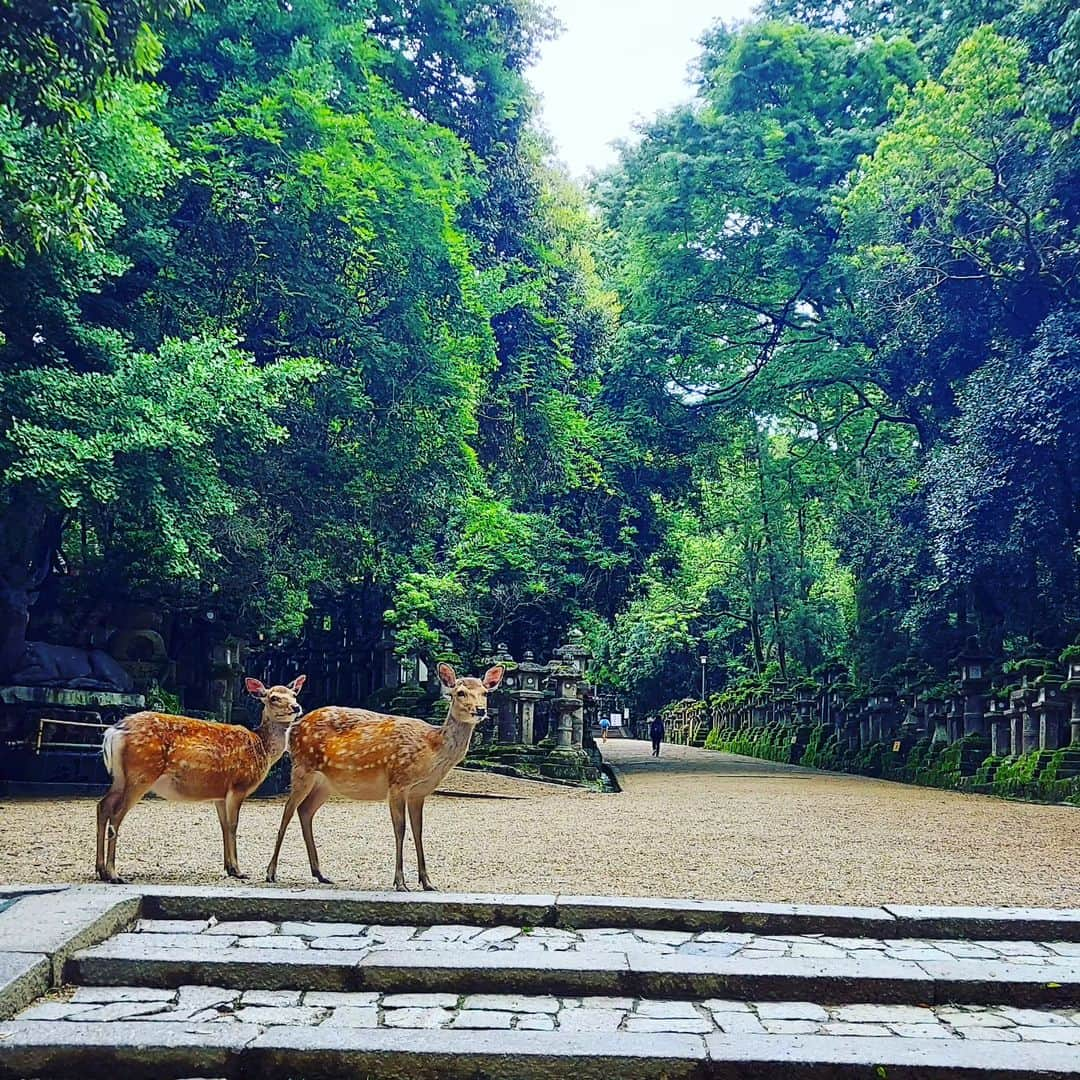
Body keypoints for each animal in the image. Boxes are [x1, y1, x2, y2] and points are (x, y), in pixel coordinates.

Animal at [95, 673, 306, 885]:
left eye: (294, 694)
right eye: (273, 697)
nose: (297, 707)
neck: (261, 748)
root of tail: (113, 732)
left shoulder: (220, 794)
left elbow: (223, 826)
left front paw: (229, 868)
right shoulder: (238, 785)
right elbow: (233, 825)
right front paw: (239, 871)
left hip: (120, 777)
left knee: (102, 806)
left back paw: (101, 870)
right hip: (141, 774)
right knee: (116, 814)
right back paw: (114, 874)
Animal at [270, 660, 505, 889]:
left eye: (485, 692)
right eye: (460, 692)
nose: (480, 710)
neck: (431, 750)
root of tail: (293, 729)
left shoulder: (419, 792)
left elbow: (418, 831)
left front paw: (427, 882)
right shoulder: (398, 782)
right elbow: (400, 829)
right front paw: (400, 882)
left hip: (326, 783)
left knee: (305, 810)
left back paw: (320, 873)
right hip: (302, 767)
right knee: (287, 811)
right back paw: (271, 873)